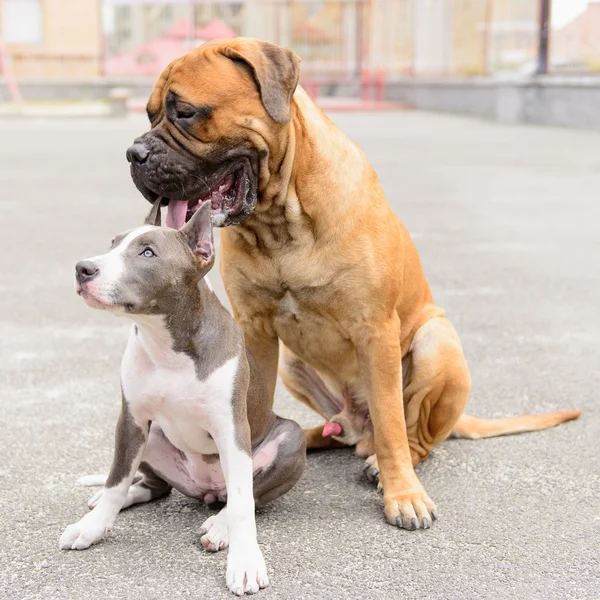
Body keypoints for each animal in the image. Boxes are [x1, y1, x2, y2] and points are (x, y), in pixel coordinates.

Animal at [62, 202, 304, 596]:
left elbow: (243, 504)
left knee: (248, 495)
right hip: (152, 437)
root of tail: (206, 490)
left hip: (291, 439)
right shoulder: (131, 420)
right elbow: (116, 481)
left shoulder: (232, 429)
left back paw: (219, 525)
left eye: (147, 253)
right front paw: (93, 526)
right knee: (153, 486)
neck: (166, 345)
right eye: (113, 243)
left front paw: (244, 563)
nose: (83, 268)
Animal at [127, 38, 580, 528]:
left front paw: (403, 495)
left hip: (436, 340)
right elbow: (251, 405)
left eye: (185, 112)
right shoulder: (256, 329)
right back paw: (314, 434)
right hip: (294, 365)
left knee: (412, 435)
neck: (281, 221)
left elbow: (391, 420)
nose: (133, 154)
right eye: (149, 115)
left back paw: (382, 462)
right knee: (340, 431)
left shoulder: (375, 330)